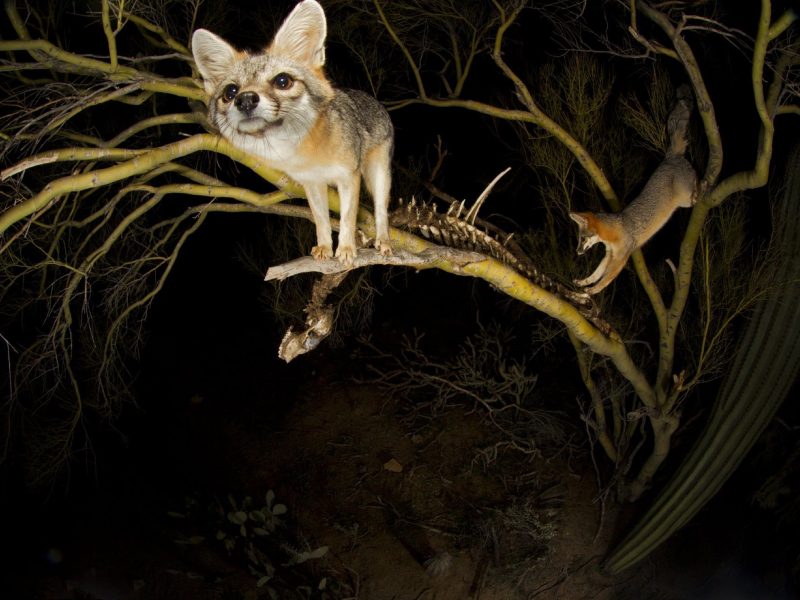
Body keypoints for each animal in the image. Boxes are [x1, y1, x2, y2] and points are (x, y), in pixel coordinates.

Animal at [191, 0, 393, 265]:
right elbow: (321, 220)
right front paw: (325, 247)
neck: (306, 151)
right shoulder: (312, 183)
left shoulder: (348, 177)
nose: (245, 100)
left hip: (378, 176)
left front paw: (347, 248)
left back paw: (384, 240)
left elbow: (348, 218)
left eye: (282, 81)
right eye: (230, 92)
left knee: (381, 212)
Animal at [570, 86, 698, 294]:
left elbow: (606, 279)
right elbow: (597, 273)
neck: (615, 229)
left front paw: (593, 291)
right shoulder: (609, 255)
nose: (578, 252)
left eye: (582, 239)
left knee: (697, 182)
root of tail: (670, 157)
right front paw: (584, 282)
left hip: (686, 199)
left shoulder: (621, 257)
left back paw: (705, 185)